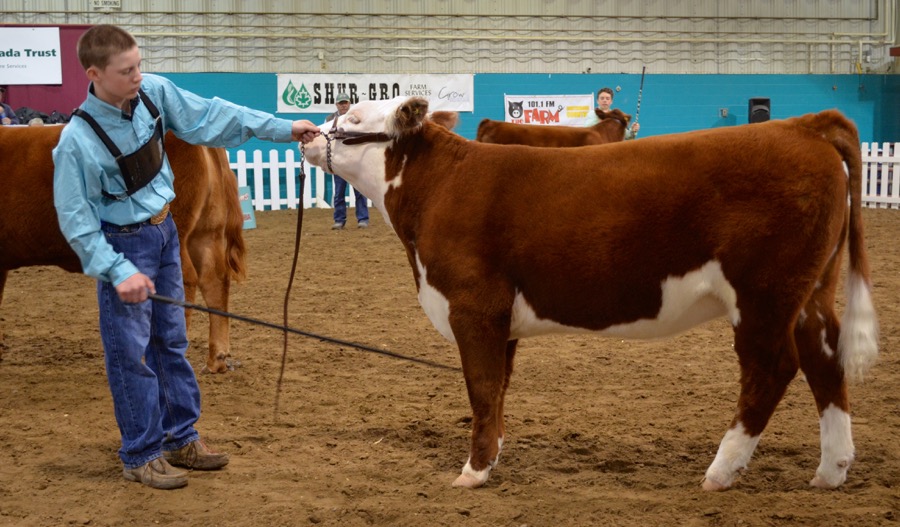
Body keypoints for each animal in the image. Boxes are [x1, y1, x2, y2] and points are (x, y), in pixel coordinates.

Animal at [303, 96, 879, 491]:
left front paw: (473, 471)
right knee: (825, 359)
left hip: (763, 295)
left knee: (772, 368)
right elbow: (499, 390)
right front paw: (494, 456)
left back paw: (721, 470)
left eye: (355, 117)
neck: (440, 187)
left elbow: (482, 388)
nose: (307, 132)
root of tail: (802, 125)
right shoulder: (502, 319)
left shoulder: (473, 307)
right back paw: (830, 470)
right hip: (809, 293)